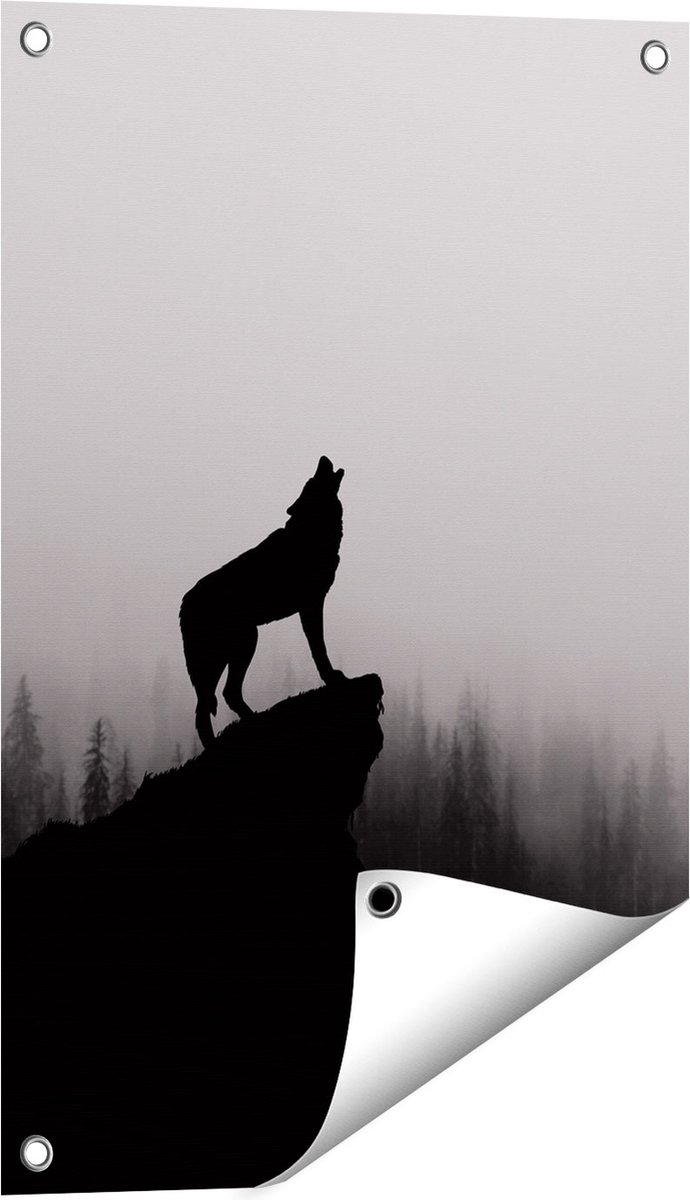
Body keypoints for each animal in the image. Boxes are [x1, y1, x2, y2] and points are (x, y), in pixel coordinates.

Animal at [180, 456, 346, 748]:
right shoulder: (311, 605)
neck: (310, 532)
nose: (323, 457)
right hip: (236, 647)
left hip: (238, 646)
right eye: (311, 480)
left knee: (221, 697)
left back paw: (250, 721)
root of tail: (183, 603)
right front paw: (331, 677)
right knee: (209, 705)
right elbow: (319, 649)